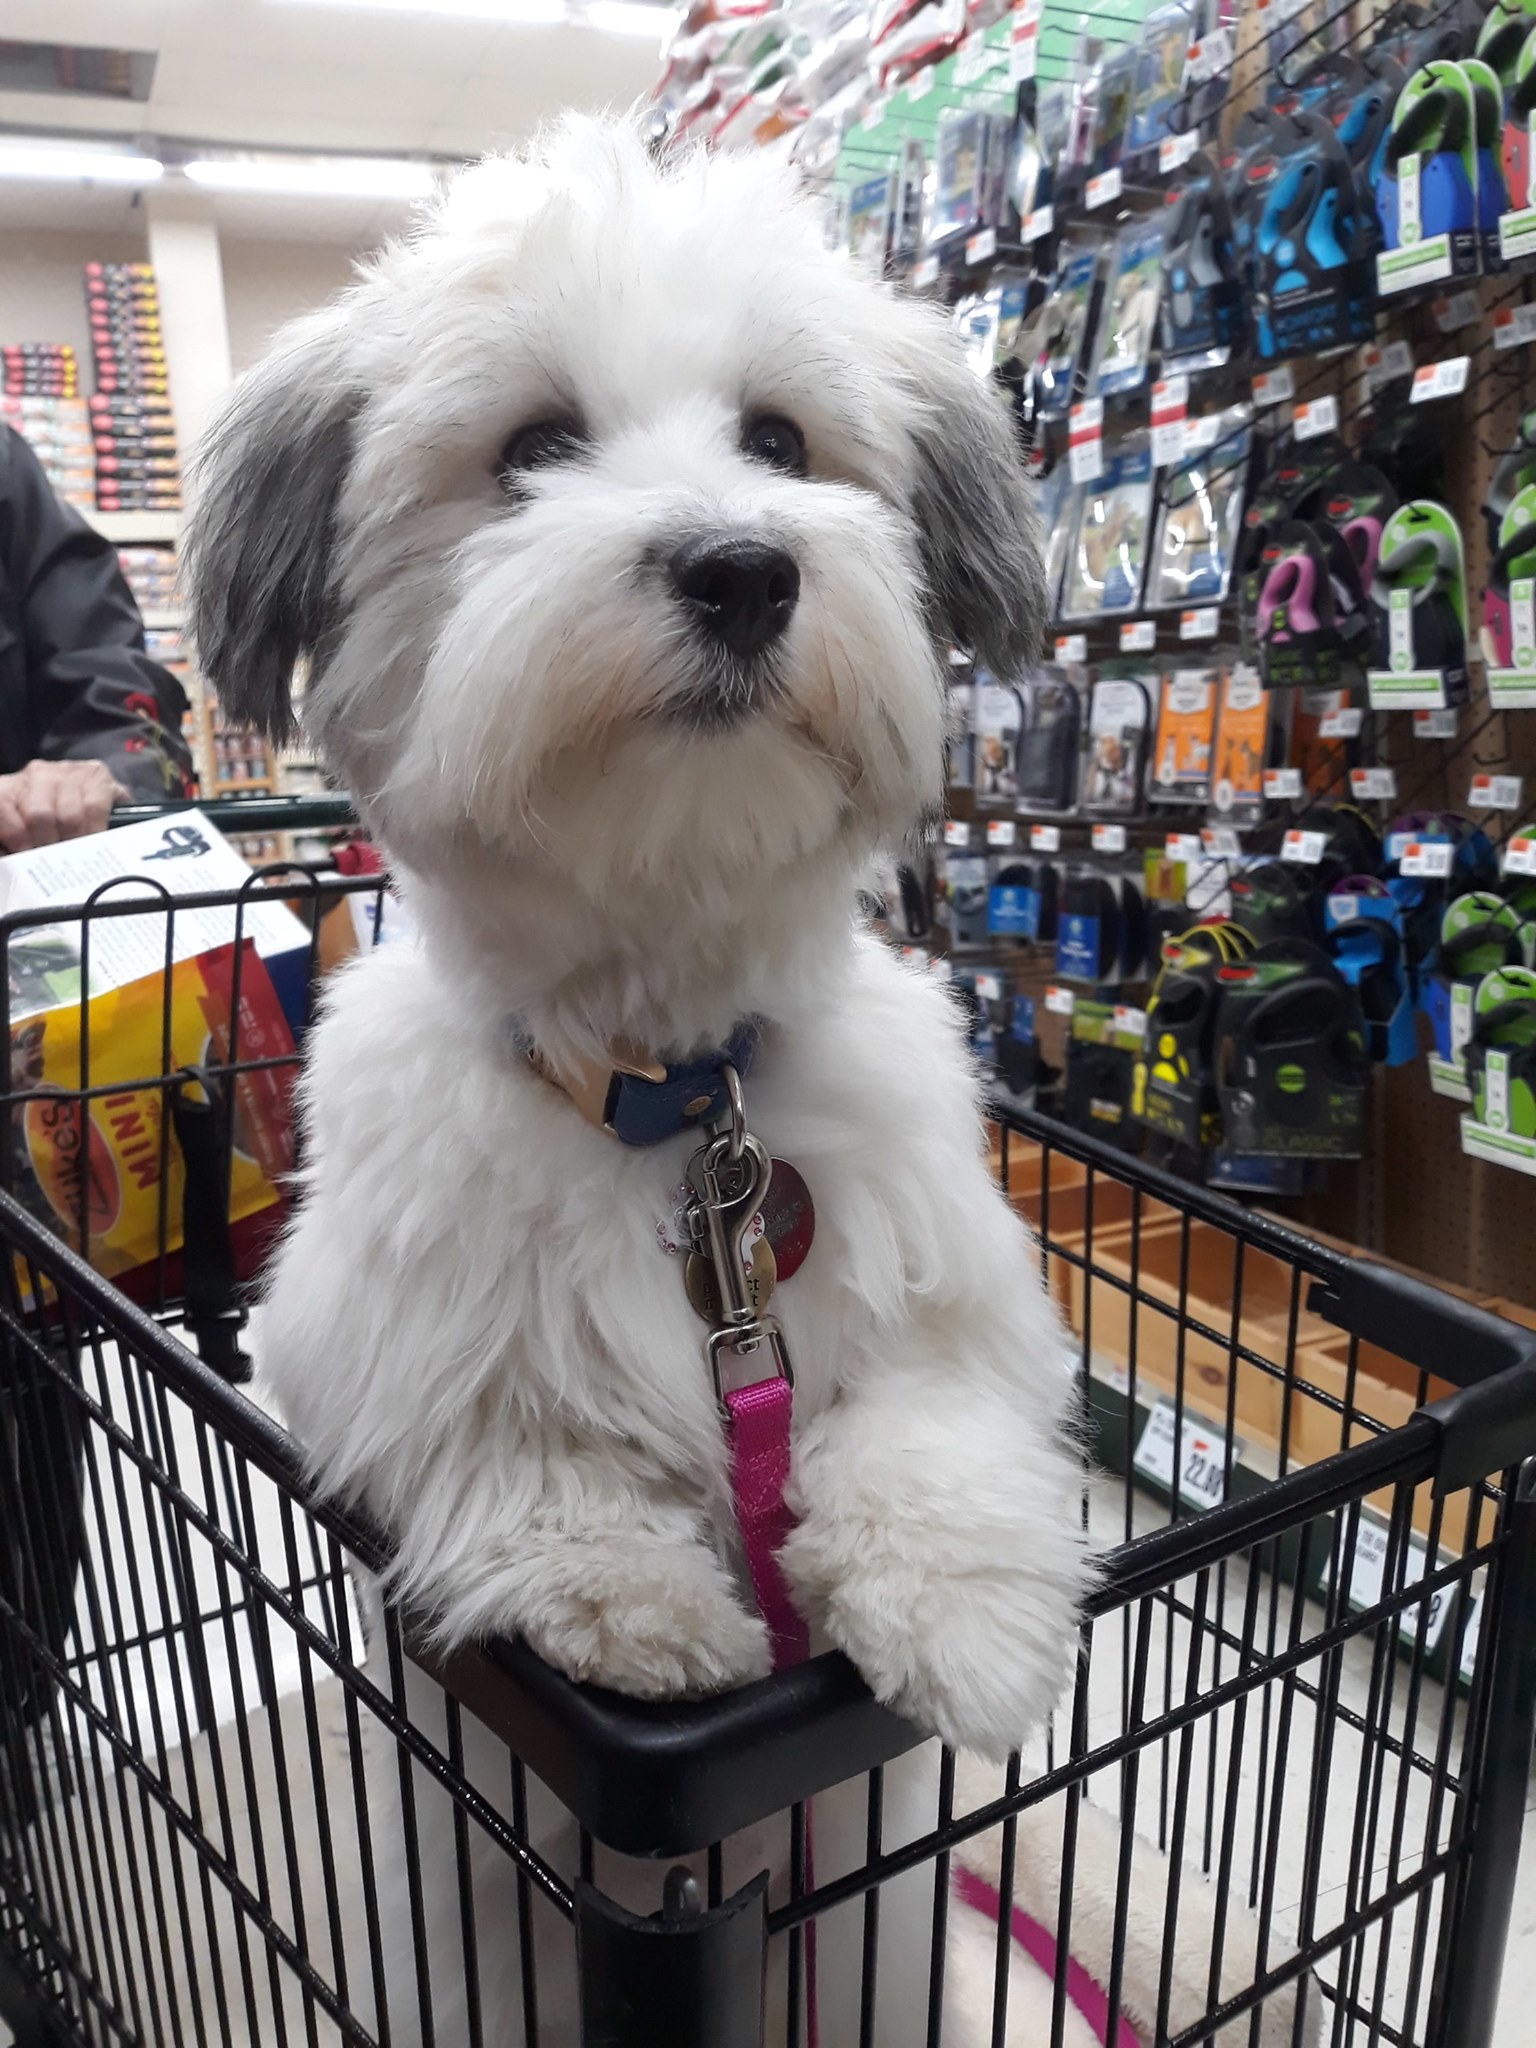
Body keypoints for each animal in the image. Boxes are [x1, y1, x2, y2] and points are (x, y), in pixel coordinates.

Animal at [188, 115, 1090, 2044]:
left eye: (783, 442)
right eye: (534, 448)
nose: (744, 564)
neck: (673, 1092)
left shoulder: (935, 1266)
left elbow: (935, 1405)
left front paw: (964, 1610)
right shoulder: (366, 1322)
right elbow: (499, 1437)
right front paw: (625, 1597)